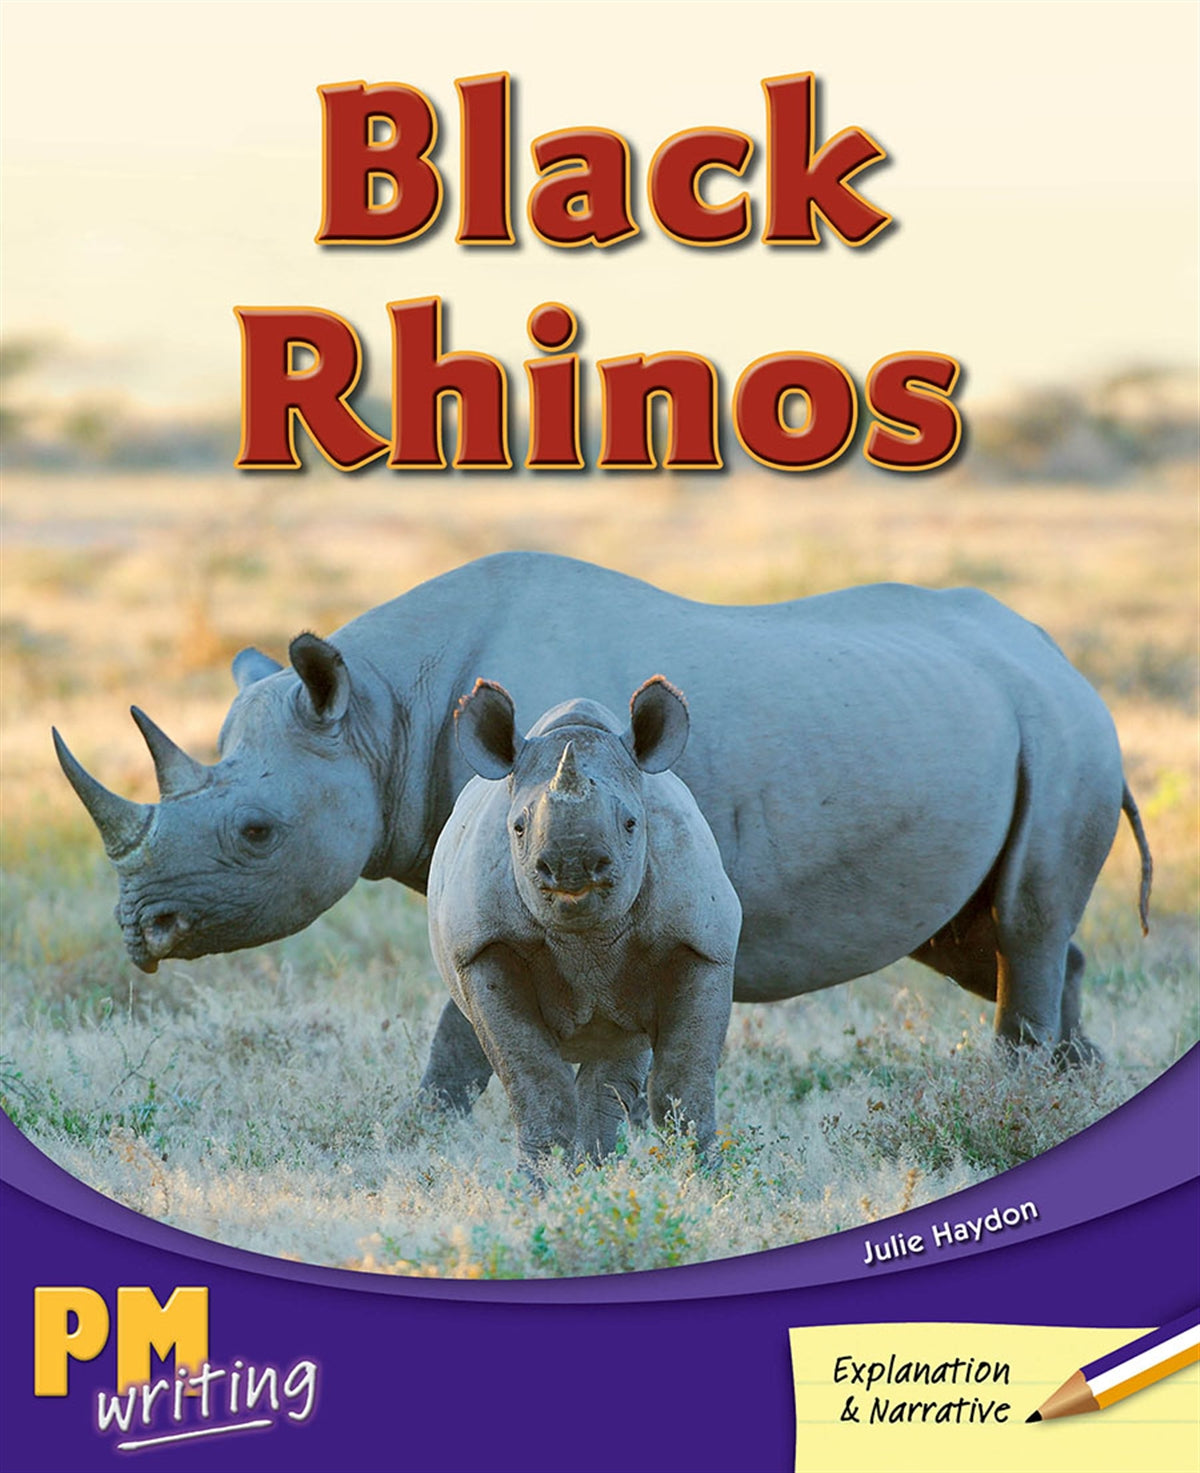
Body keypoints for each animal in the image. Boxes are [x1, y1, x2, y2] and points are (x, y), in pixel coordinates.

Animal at [54, 552, 1151, 1108]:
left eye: (254, 832)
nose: (139, 930)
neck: (382, 710)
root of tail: (1060, 658)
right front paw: (427, 1137)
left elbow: (468, 1021)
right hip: (994, 721)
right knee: (980, 936)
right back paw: (1076, 1090)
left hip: (1067, 733)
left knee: (1022, 923)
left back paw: (1016, 1103)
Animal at [427, 676, 742, 1164]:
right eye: (518, 828)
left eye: (631, 824)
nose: (571, 869)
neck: (587, 939)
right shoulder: (482, 947)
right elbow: (534, 1081)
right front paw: (538, 1180)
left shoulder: (702, 944)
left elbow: (684, 1081)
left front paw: (707, 1172)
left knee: (619, 1057)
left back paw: (598, 1166)